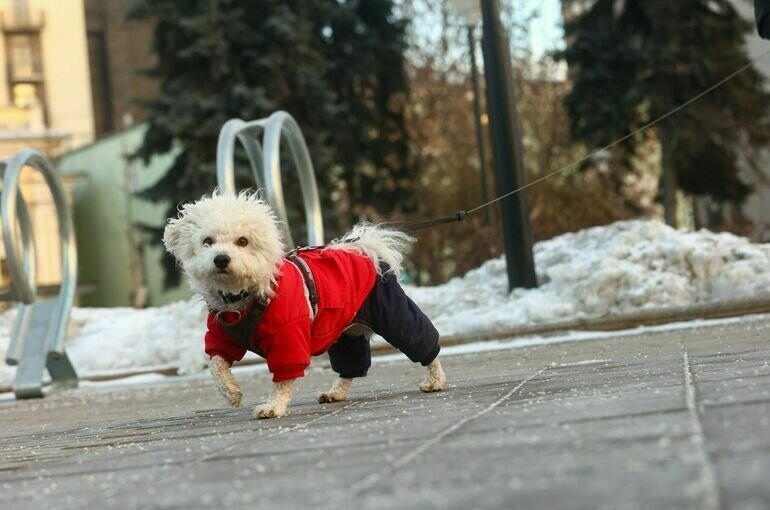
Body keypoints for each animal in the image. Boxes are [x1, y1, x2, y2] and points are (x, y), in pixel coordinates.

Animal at [165, 191, 448, 418]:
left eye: (242, 241)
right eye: (207, 241)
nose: (221, 259)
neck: (245, 296)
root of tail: (363, 248)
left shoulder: (288, 337)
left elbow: (283, 379)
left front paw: (273, 407)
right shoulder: (223, 337)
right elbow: (216, 365)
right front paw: (232, 393)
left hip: (393, 316)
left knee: (424, 343)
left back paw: (435, 380)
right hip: (347, 333)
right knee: (351, 366)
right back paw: (336, 393)